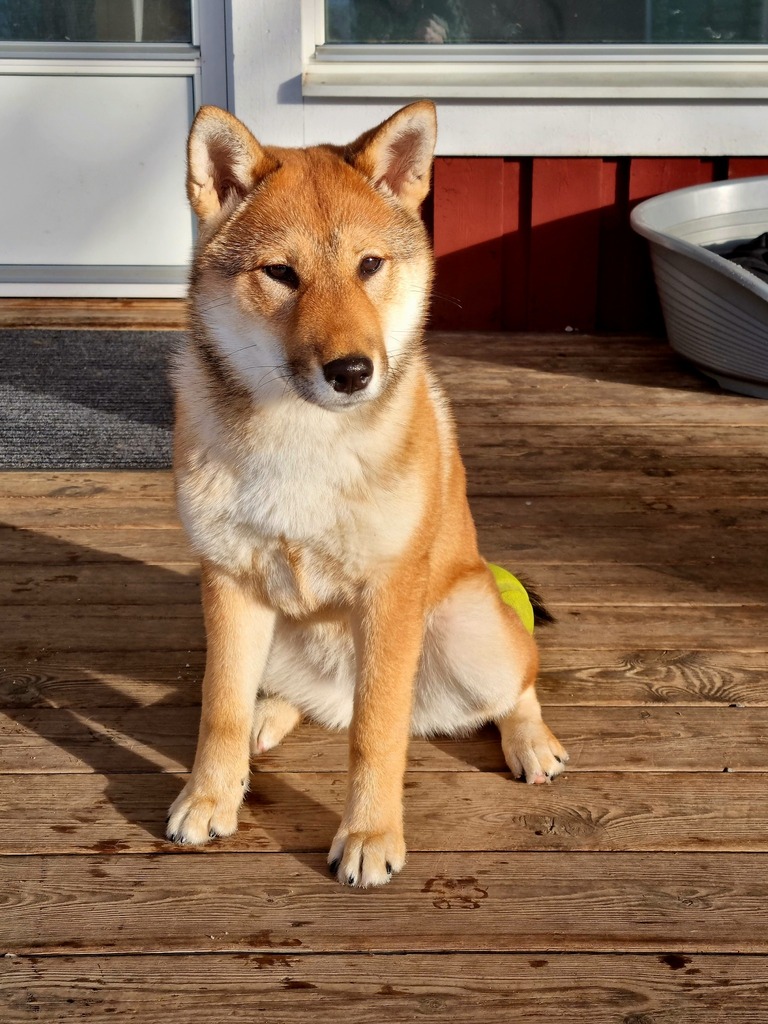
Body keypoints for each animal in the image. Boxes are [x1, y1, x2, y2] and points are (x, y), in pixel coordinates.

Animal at [165, 103, 569, 888]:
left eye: (370, 266)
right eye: (281, 273)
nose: (352, 371)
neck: (301, 440)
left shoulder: (388, 592)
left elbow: (376, 735)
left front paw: (370, 834)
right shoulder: (228, 581)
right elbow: (218, 707)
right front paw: (209, 795)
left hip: (471, 629)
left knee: (517, 683)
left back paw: (531, 742)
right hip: (281, 634)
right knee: (307, 705)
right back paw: (269, 716)